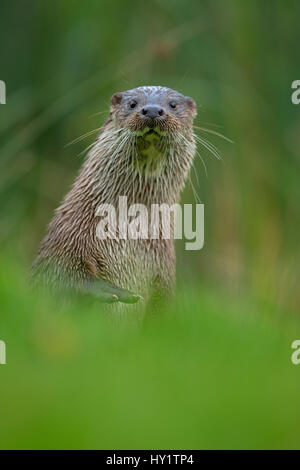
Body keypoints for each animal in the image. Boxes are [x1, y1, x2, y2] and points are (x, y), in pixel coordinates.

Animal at [31, 86, 198, 310]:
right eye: (132, 103)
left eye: (173, 105)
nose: (153, 110)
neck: (128, 234)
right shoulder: (67, 240)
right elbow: (58, 274)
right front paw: (112, 292)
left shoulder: (165, 273)